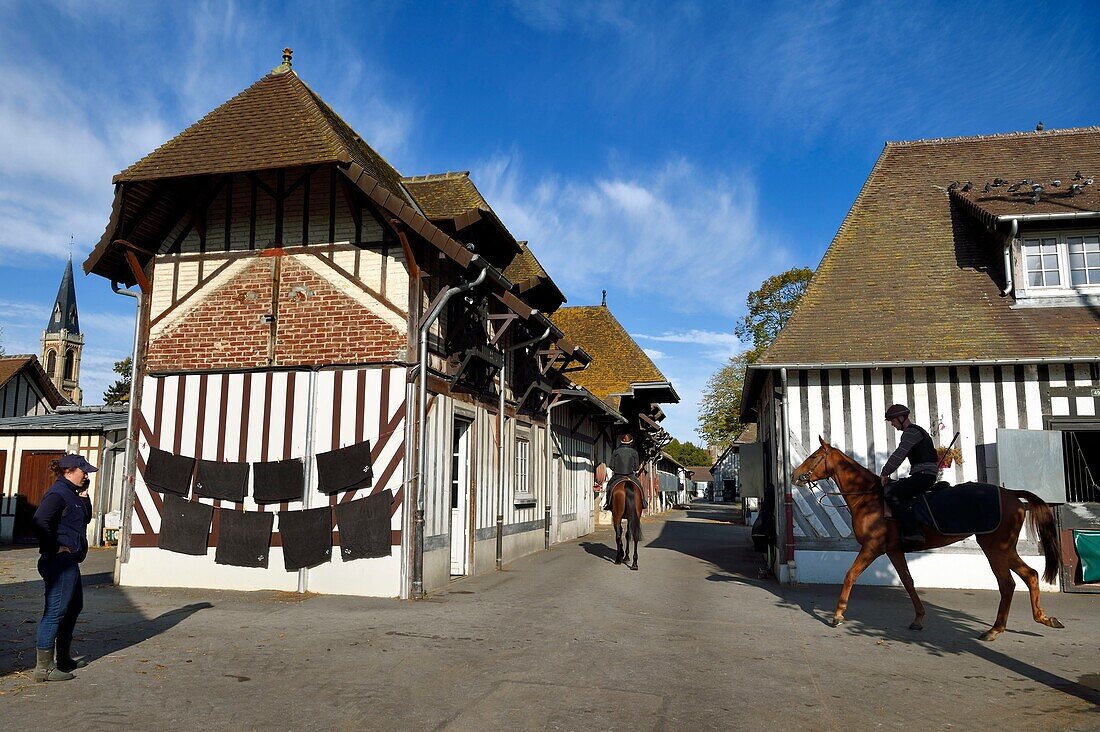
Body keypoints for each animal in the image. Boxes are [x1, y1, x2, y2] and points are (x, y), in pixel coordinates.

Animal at [796, 433, 1060, 638]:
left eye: (813, 457)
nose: (795, 474)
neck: (869, 498)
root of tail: (1011, 493)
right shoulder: (893, 550)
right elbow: (908, 582)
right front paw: (919, 618)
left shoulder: (872, 547)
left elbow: (850, 575)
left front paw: (838, 614)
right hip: (1005, 549)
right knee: (1030, 575)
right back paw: (1042, 618)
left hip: (995, 548)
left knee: (1007, 584)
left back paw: (995, 629)